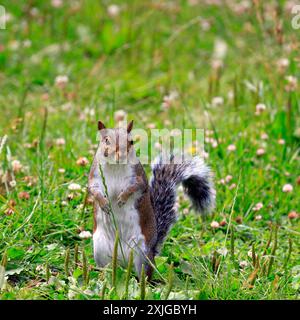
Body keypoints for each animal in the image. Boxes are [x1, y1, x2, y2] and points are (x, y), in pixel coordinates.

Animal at [88, 121, 214, 278]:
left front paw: (122, 198)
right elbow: (93, 190)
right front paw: (104, 203)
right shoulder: (94, 176)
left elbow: (136, 187)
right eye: (106, 140)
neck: (115, 167)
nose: (121, 154)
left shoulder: (138, 177)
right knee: (107, 268)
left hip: (142, 253)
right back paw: (105, 276)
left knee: (144, 274)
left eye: (131, 142)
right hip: (100, 250)